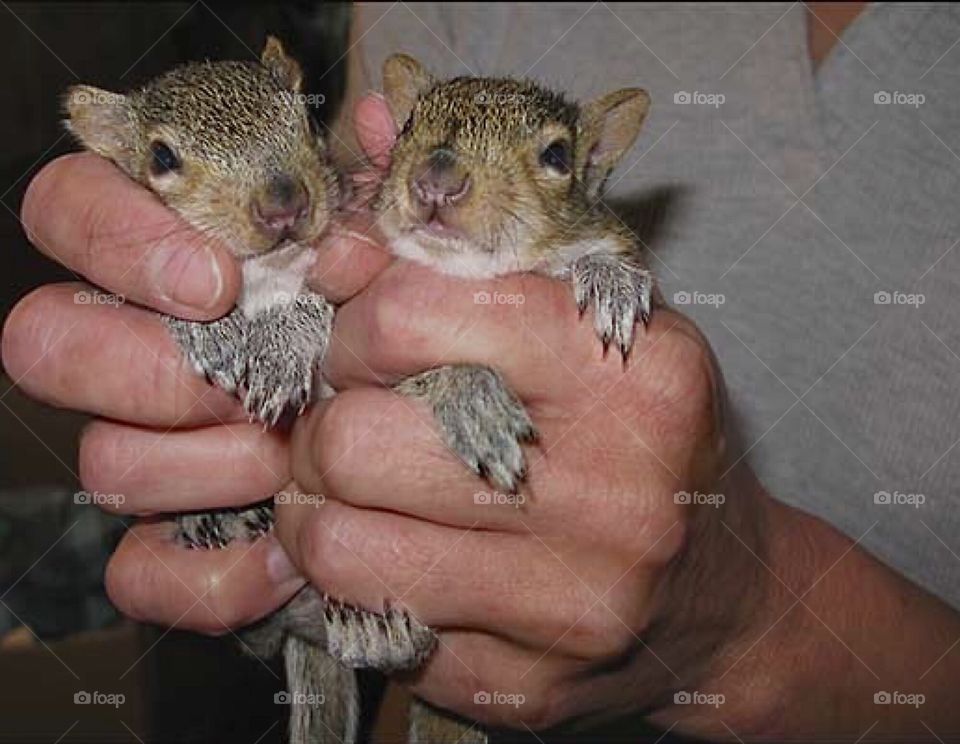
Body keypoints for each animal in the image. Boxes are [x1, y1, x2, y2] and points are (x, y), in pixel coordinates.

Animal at [62, 37, 432, 744]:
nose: (284, 204)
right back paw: (217, 516)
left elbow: (319, 307)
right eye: (161, 158)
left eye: (310, 119)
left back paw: (378, 625)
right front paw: (209, 329)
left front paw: (284, 347)